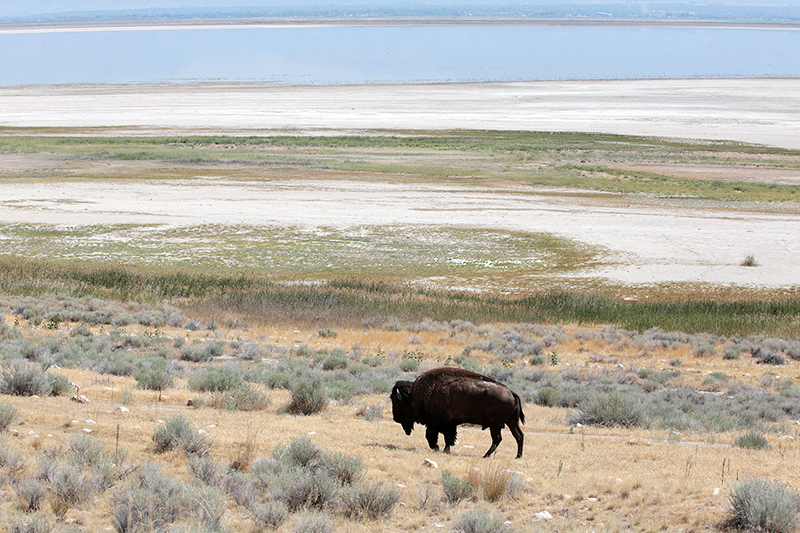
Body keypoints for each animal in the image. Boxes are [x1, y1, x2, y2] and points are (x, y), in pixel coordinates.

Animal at [390, 367, 525, 458]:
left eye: (396, 402)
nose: (395, 418)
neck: (414, 395)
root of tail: (511, 392)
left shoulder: (437, 424)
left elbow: (435, 437)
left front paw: (438, 448)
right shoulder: (449, 425)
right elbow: (448, 438)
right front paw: (445, 450)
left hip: (496, 425)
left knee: (498, 439)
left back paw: (486, 455)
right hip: (512, 422)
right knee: (518, 436)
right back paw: (517, 456)